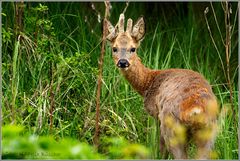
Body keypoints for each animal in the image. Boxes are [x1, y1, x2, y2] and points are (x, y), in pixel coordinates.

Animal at [106, 14, 218, 160]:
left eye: (133, 48)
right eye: (114, 48)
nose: (123, 62)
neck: (148, 82)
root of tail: (195, 110)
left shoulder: (156, 113)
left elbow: (160, 149)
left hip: (171, 127)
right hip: (209, 131)